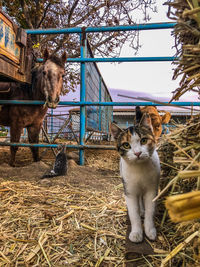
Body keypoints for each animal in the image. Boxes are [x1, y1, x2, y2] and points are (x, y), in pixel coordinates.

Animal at [110, 106, 160, 243]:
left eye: (144, 140)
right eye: (126, 145)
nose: (137, 153)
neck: (139, 168)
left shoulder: (152, 189)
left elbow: (150, 210)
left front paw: (150, 230)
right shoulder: (129, 190)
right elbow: (134, 213)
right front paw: (137, 232)